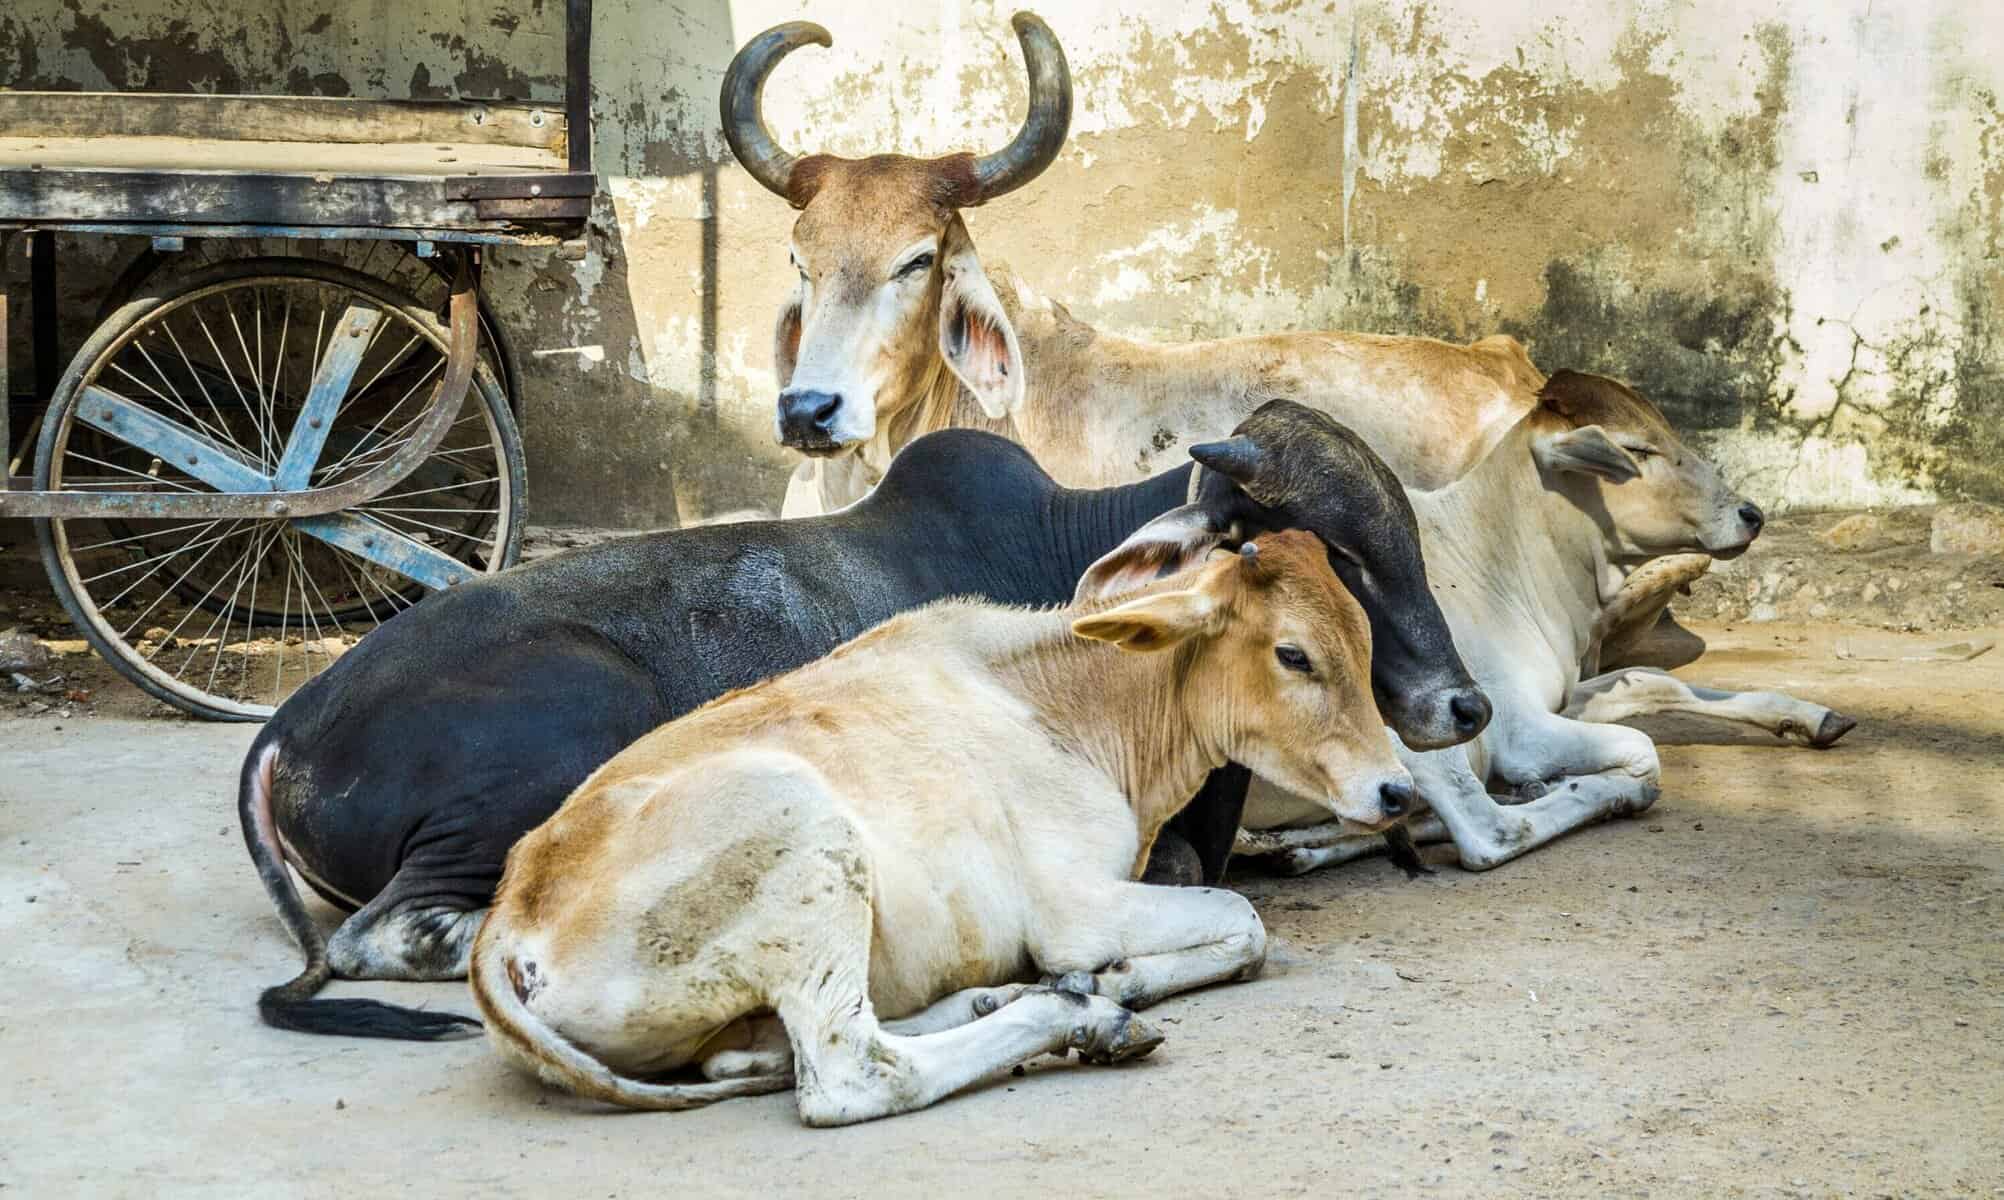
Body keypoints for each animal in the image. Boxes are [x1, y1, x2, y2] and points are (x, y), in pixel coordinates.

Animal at [470, 530, 1405, 1124]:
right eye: (1293, 654)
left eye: (1361, 641)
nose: (1397, 790)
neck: (1065, 704)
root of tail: (508, 917)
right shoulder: (1075, 907)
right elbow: (1245, 923)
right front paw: (1120, 981)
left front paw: (1109, 979)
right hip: (804, 837)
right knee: (852, 1072)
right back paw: (1074, 1016)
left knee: (753, 1057)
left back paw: (1008, 995)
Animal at [1212, 373, 1855, 876]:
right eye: (1638, 450)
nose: (1750, 515)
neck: (1494, 553)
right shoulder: (1516, 727)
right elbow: (1642, 747)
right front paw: (1569, 779)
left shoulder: (1565, 694)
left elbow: (1658, 681)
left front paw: (1811, 716)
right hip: (1420, 734)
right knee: (1489, 831)